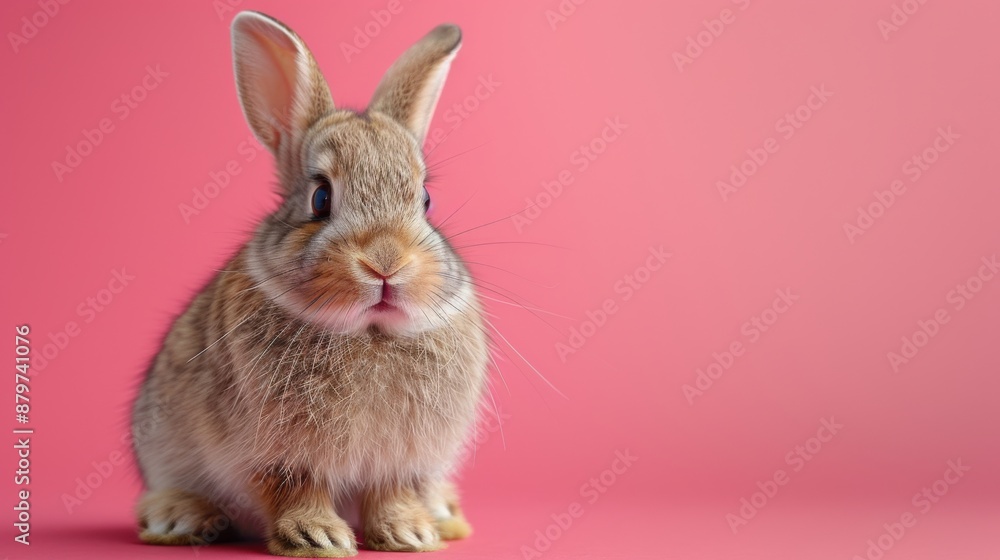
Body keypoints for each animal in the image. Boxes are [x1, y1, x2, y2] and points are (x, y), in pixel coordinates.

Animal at [131, 10, 489, 557]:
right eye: (321, 198)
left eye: (426, 199)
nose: (385, 263)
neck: (369, 332)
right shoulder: (276, 452)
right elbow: (295, 488)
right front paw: (316, 536)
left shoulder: (401, 459)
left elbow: (392, 492)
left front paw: (409, 533)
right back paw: (180, 518)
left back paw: (445, 516)